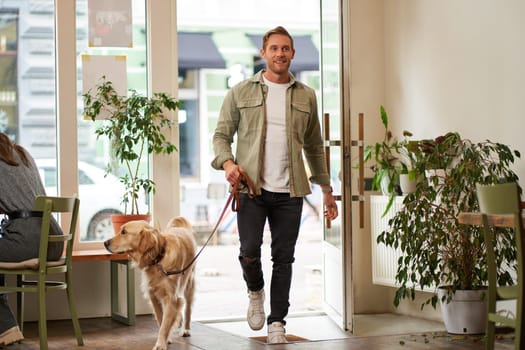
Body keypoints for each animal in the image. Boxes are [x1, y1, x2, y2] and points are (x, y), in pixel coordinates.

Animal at [104, 216, 196, 350]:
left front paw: (161, 344)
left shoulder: (170, 297)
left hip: (189, 283)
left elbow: (165, 323)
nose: (105, 243)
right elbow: (161, 319)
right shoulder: (153, 294)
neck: (158, 258)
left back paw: (186, 329)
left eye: (124, 232)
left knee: (188, 307)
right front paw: (166, 339)